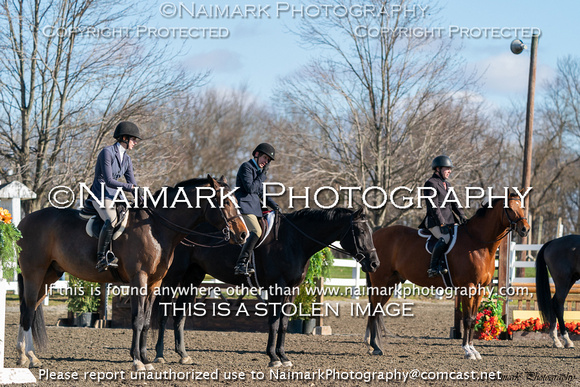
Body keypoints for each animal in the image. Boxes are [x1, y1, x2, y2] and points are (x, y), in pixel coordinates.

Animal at [15, 177, 247, 372]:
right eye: (225, 202)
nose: (243, 234)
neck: (156, 228)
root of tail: (23, 222)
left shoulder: (154, 283)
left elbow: (146, 321)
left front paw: (145, 358)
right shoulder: (139, 279)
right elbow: (137, 319)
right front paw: (137, 361)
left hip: (49, 276)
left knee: (30, 309)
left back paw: (26, 355)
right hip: (34, 274)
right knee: (28, 310)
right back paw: (28, 358)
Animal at [153, 208, 380, 368]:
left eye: (371, 232)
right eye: (360, 231)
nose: (374, 264)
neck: (294, 241)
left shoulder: (291, 290)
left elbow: (284, 323)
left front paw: (284, 356)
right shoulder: (276, 288)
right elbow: (273, 322)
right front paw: (273, 357)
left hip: (194, 276)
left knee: (180, 314)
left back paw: (183, 355)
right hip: (174, 276)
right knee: (164, 313)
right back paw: (159, 355)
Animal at [370, 194, 528, 360]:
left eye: (522, 206)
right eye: (510, 208)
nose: (525, 229)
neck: (477, 242)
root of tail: (375, 234)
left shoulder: (480, 289)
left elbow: (473, 319)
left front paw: (474, 350)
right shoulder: (468, 287)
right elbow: (467, 319)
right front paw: (467, 350)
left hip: (390, 283)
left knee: (378, 310)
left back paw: (376, 345)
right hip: (379, 282)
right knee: (373, 310)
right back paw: (375, 346)